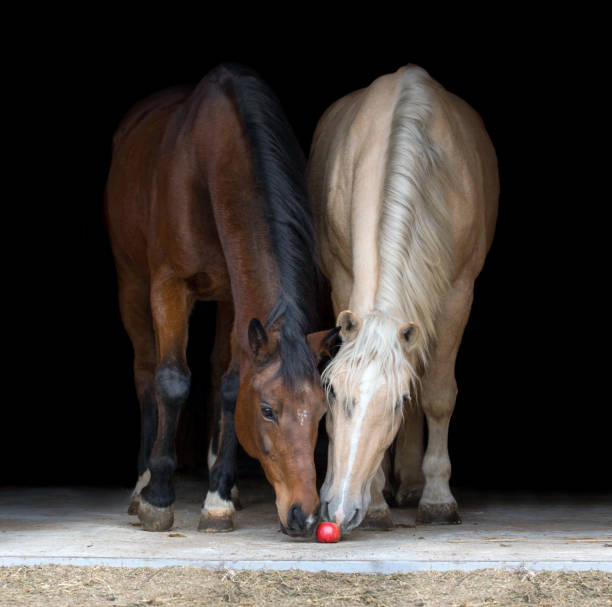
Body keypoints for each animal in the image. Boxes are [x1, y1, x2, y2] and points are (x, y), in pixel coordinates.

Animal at [106, 61, 334, 536]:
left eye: (322, 412)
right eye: (267, 410)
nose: (305, 516)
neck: (210, 165)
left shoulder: (234, 295)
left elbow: (229, 386)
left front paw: (218, 497)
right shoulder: (169, 285)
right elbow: (172, 380)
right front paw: (158, 496)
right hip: (131, 283)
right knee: (145, 370)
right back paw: (141, 483)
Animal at [308, 65, 500, 532]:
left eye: (396, 401)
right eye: (333, 392)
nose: (338, 510)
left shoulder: (457, 294)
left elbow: (436, 395)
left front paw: (437, 498)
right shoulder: (343, 279)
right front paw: (377, 502)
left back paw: (413, 486)